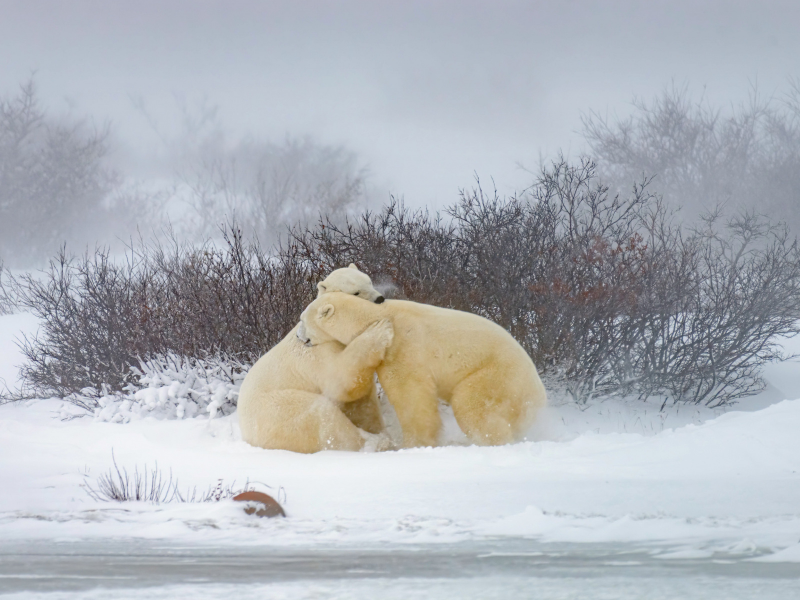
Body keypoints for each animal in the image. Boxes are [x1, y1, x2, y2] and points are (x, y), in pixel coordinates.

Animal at [239, 322, 396, 452]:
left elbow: (363, 404)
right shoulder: (313, 353)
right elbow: (339, 377)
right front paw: (381, 330)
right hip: (277, 413)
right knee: (323, 415)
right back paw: (375, 442)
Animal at [296, 292, 548, 448]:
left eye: (302, 319)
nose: (298, 337)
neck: (377, 316)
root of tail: (539, 393)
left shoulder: (402, 348)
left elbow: (411, 397)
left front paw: (413, 444)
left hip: (499, 375)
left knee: (472, 405)